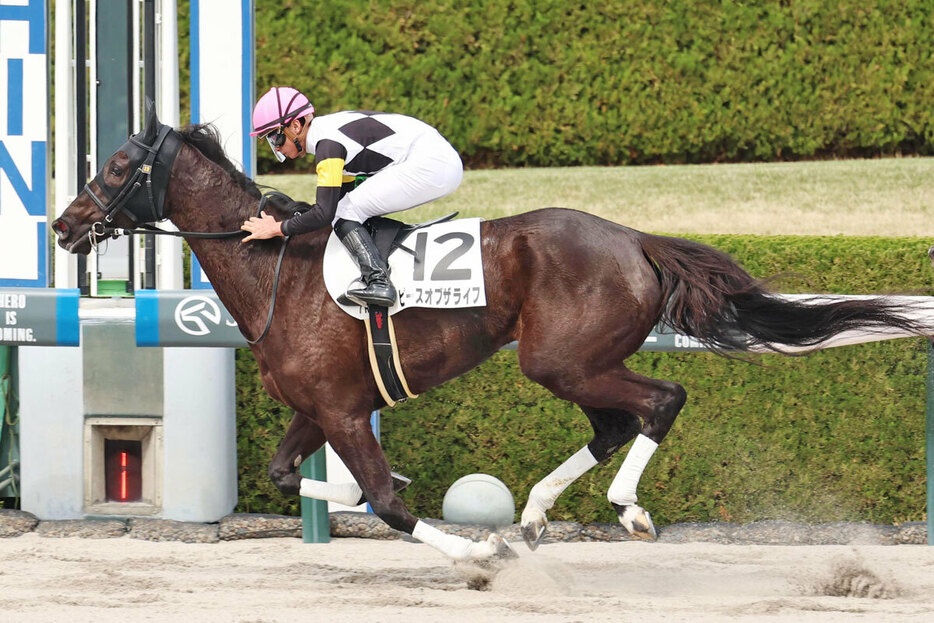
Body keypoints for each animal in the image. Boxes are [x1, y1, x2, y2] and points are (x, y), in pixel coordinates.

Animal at [53, 109, 934, 564]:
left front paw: (472, 553)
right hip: (575, 360)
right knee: (613, 423)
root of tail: (634, 237)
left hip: (561, 357)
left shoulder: (340, 409)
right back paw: (539, 512)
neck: (281, 273)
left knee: (660, 399)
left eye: (115, 167)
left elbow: (387, 503)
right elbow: (290, 476)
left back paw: (623, 509)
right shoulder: (319, 406)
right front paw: (368, 492)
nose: (65, 225)